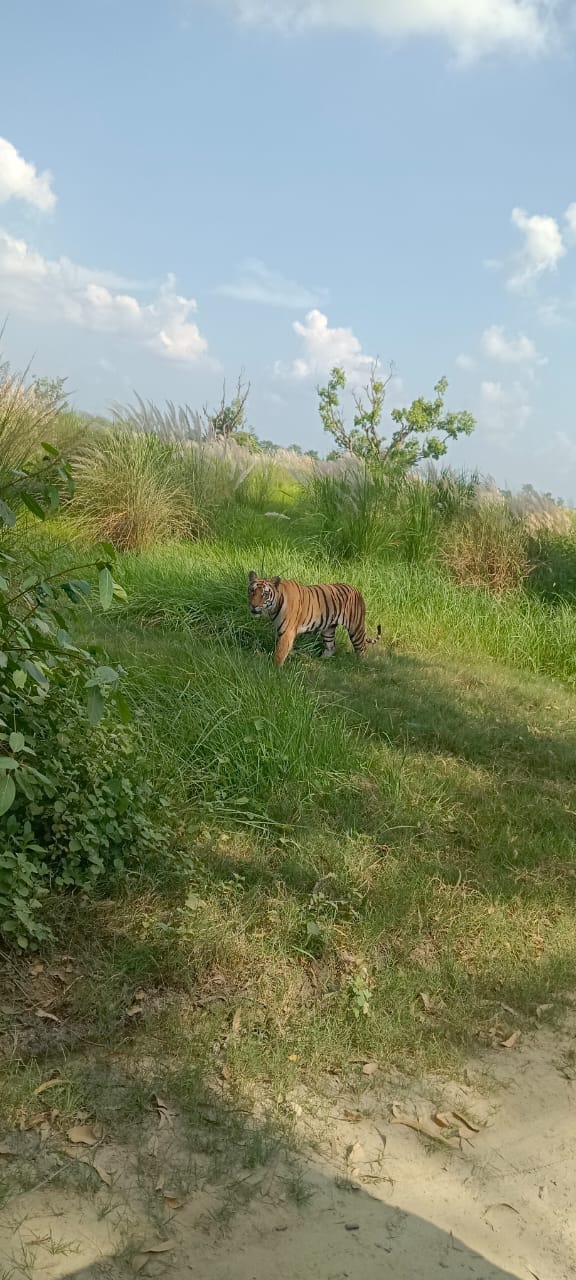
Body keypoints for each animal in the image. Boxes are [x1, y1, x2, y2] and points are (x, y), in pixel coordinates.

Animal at [248, 571, 381, 667]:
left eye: (265, 594)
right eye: (252, 590)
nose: (253, 606)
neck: (273, 607)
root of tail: (357, 590)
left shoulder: (287, 632)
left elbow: (280, 653)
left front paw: (274, 669)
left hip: (355, 629)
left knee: (362, 649)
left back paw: (360, 665)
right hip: (328, 630)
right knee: (331, 647)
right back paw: (320, 661)